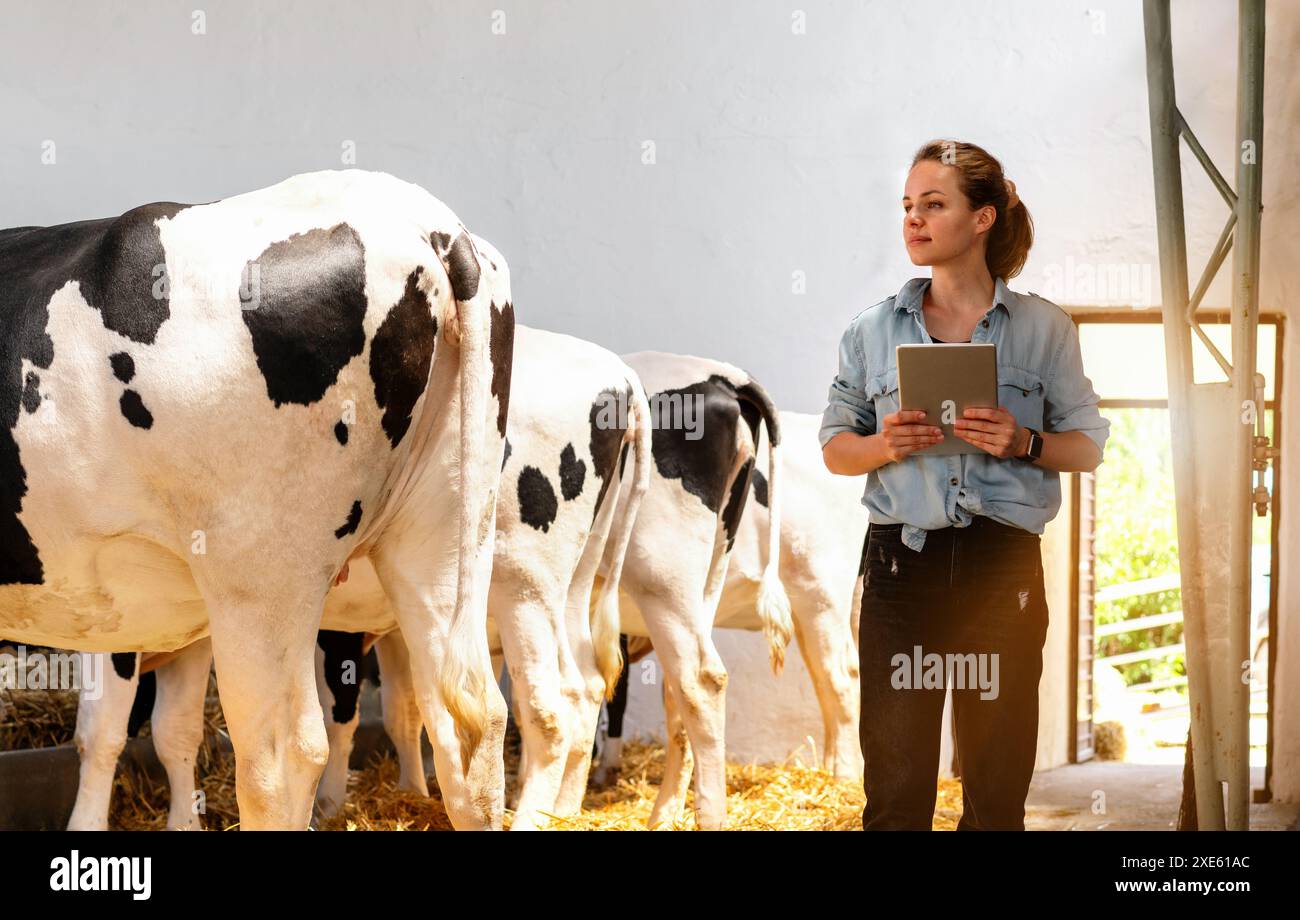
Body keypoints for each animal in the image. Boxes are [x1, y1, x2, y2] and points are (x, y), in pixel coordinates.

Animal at [1, 168, 517, 831]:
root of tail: (429, 221)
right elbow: (171, 731)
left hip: (259, 578)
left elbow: (103, 733)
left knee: (281, 754)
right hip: (441, 535)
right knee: (469, 722)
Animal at [61, 323, 650, 831]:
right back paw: (565, 810)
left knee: (550, 711)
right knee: (584, 688)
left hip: (526, 586)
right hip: (574, 586)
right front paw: (407, 792)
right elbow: (397, 712)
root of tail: (619, 373)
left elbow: (102, 733)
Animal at [595, 410, 868, 790]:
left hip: (821, 592)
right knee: (831, 678)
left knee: (840, 677)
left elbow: (614, 693)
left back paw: (842, 778)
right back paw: (831, 769)